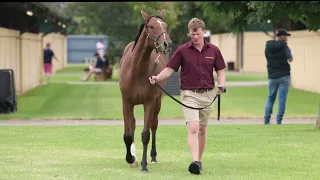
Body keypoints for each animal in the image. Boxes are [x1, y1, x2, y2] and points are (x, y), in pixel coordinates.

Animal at [118, 9, 172, 172]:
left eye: (165, 26)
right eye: (152, 26)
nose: (167, 44)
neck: (135, 71)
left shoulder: (149, 102)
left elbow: (146, 134)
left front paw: (144, 165)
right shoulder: (126, 102)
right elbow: (128, 134)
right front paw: (130, 158)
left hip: (158, 101)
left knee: (154, 125)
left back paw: (152, 156)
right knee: (133, 124)